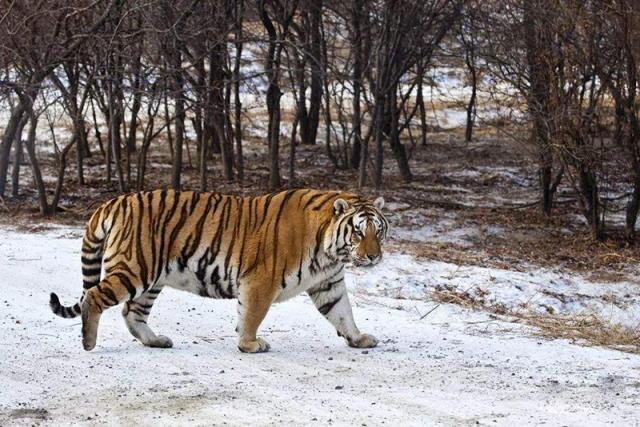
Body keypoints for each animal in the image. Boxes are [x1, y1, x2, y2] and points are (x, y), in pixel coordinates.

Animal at [48, 189, 390, 352]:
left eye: (378, 231)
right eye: (358, 232)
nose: (373, 257)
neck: (330, 252)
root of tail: (115, 202)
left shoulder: (328, 284)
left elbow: (343, 314)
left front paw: (359, 339)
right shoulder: (260, 281)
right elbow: (251, 315)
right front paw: (250, 345)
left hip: (152, 278)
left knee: (132, 313)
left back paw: (156, 340)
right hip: (135, 268)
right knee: (94, 296)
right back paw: (88, 342)